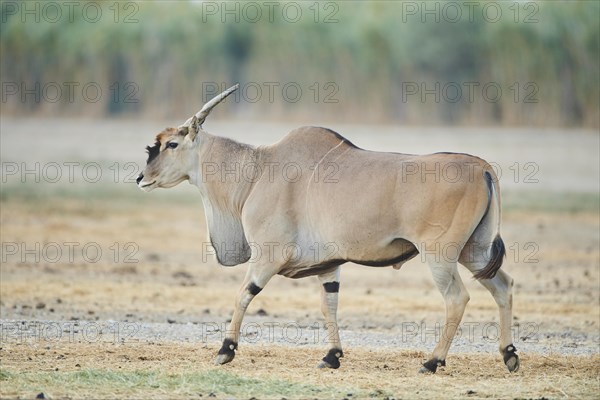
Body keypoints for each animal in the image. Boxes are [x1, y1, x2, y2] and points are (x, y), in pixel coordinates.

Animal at [137, 84, 520, 376]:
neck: (257, 169)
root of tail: (482, 168)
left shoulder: (267, 258)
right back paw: (509, 354)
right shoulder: (328, 265)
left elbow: (243, 294)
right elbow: (329, 304)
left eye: (172, 144)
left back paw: (432, 361)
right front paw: (331, 356)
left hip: (440, 257)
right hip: (475, 252)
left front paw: (225, 349)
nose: (141, 177)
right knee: (503, 286)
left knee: (457, 298)